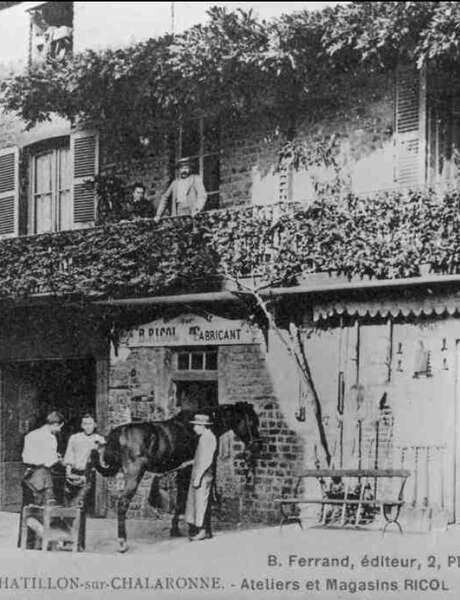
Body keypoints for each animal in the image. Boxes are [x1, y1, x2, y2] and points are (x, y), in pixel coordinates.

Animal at [90, 404, 262, 552]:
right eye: (252, 421)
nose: (256, 446)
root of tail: (118, 432)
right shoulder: (196, 468)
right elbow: (200, 499)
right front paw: (204, 531)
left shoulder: (184, 469)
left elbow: (180, 499)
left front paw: (177, 529)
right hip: (134, 475)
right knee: (122, 504)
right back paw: (122, 542)